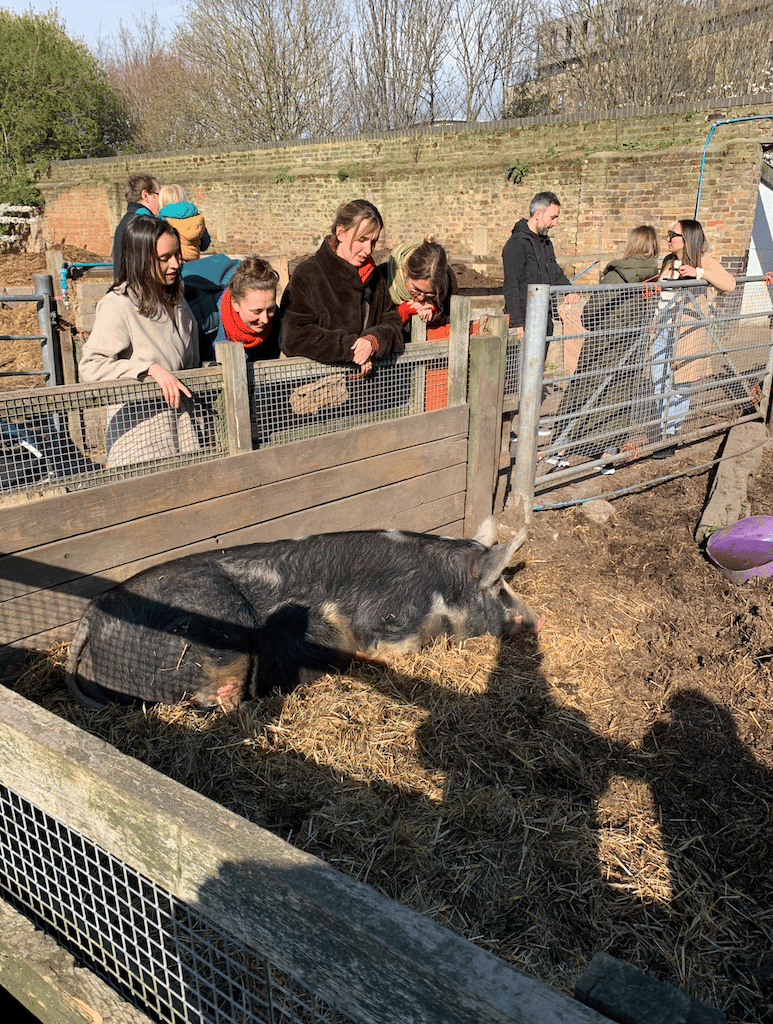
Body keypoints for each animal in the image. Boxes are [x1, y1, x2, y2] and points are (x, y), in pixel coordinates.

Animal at [66, 516, 544, 708]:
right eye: (499, 586)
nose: (538, 619)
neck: (438, 589)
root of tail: (91, 615)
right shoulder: (385, 622)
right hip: (217, 635)